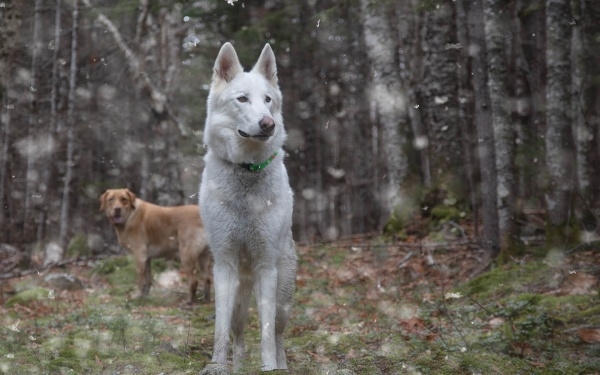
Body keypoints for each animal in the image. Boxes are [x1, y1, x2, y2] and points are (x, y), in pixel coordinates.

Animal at [199, 41, 298, 374]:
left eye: (268, 100)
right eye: (242, 99)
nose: (268, 123)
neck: (246, 169)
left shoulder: (266, 267)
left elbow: (266, 332)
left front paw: (269, 367)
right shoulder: (224, 265)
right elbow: (219, 328)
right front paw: (216, 365)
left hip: (283, 295)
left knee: (278, 333)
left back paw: (281, 366)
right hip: (240, 302)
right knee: (238, 336)